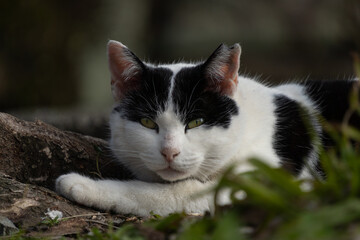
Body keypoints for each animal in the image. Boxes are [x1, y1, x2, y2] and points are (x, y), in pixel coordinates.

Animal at [54, 40, 358, 217]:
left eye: (196, 122)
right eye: (148, 123)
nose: (170, 152)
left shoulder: (272, 183)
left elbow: (173, 193)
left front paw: (81, 185)